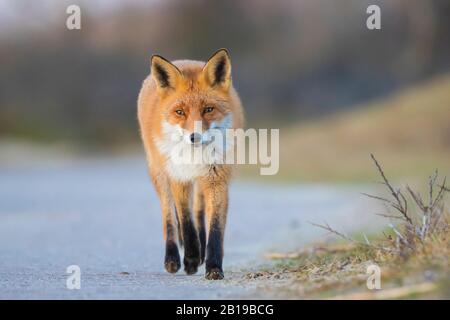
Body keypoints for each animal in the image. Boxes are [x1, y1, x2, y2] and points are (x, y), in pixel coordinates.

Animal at [137, 48, 244, 278]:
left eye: (208, 109)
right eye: (180, 112)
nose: (194, 137)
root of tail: (183, 60)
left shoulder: (216, 178)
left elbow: (215, 228)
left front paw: (213, 266)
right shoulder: (179, 177)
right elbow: (185, 222)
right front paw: (192, 258)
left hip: (201, 181)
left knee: (199, 212)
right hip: (159, 173)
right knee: (169, 217)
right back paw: (173, 258)